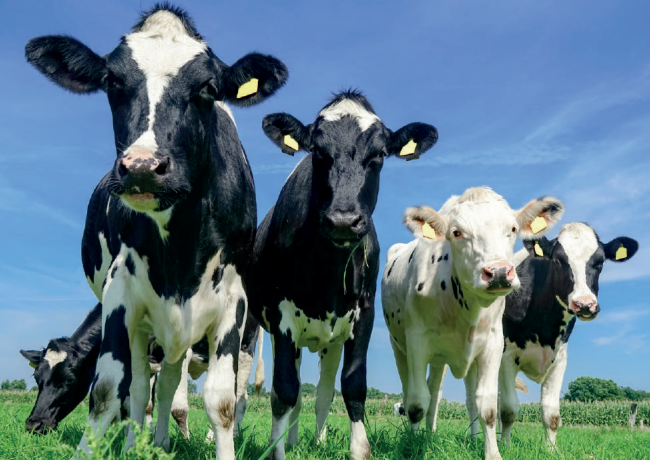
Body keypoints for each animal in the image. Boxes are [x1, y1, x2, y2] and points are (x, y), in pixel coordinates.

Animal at [25, 5, 288, 459]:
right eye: (112, 81)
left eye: (208, 87)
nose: (144, 166)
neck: (180, 250)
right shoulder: (121, 290)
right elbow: (110, 391)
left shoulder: (232, 299)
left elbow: (220, 400)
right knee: (148, 389)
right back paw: (148, 441)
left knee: (217, 392)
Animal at [247, 90, 438, 460]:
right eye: (317, 152)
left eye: (379, 154)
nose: (343, 220)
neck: (327, 274)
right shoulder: (280, 317)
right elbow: (284, 391)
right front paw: (277, 450)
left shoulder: (362, 313)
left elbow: (351, 386)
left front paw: (357, 449)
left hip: (329, 340)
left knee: (320, 393)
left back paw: (308, 441)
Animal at [381, 187, 564, 460]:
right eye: (457, 232)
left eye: (512, 228)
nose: (498, 272)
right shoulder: (417, 341)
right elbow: (415, 403)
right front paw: (412, 448)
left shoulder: (493, 344)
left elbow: (486, 406)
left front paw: (493, 454)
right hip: (399, 347)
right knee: (412, 391)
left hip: (441, 360)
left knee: (435, 394)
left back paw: (430, 435)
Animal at [499, 222, 638, 447]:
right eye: (558, 260)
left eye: (600, 262)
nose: (585, 304)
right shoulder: (506, 356)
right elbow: (509, 409)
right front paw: (504, 446)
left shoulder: (559, 358)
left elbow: (552, 415)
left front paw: (551, 450)